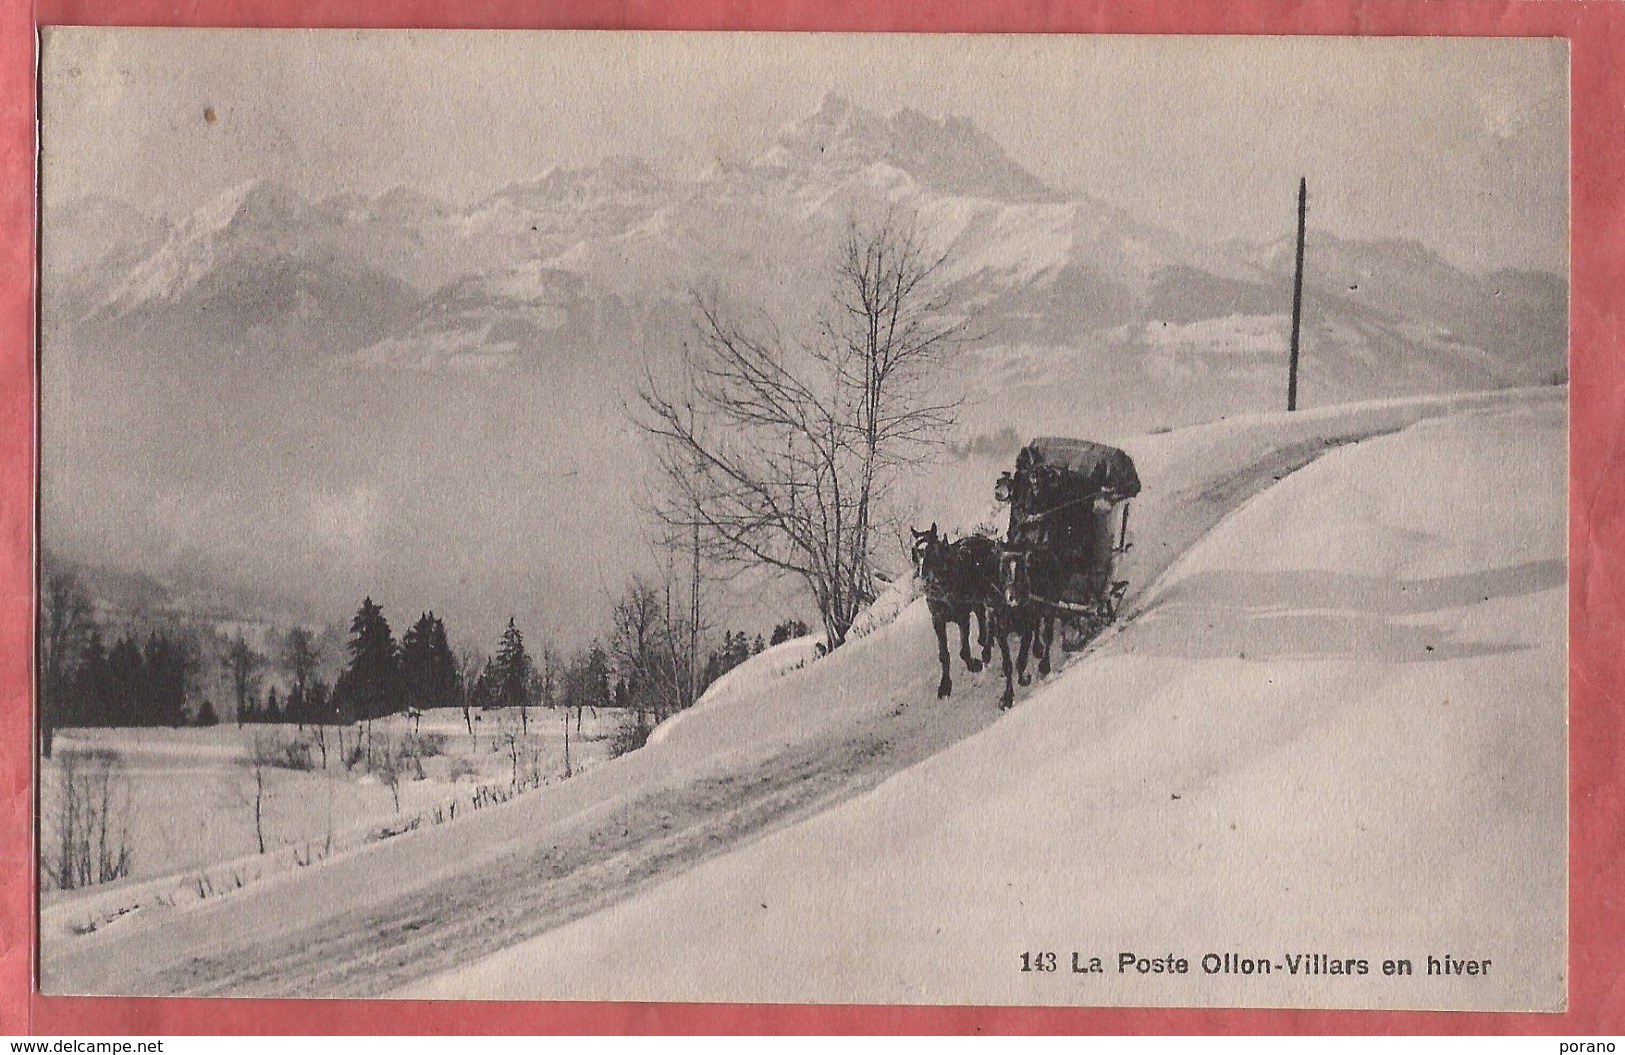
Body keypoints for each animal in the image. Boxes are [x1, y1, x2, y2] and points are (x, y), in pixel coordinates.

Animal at [910, 520, 994, 698]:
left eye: (931, 550)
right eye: (914, 553)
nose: (923, 578)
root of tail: (980, 538)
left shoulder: (962, 617)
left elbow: (964, 650)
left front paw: (974, 665)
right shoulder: (938, 621)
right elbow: (943, 654)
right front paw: (945, 685)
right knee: (980, 612)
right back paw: (982, 638)